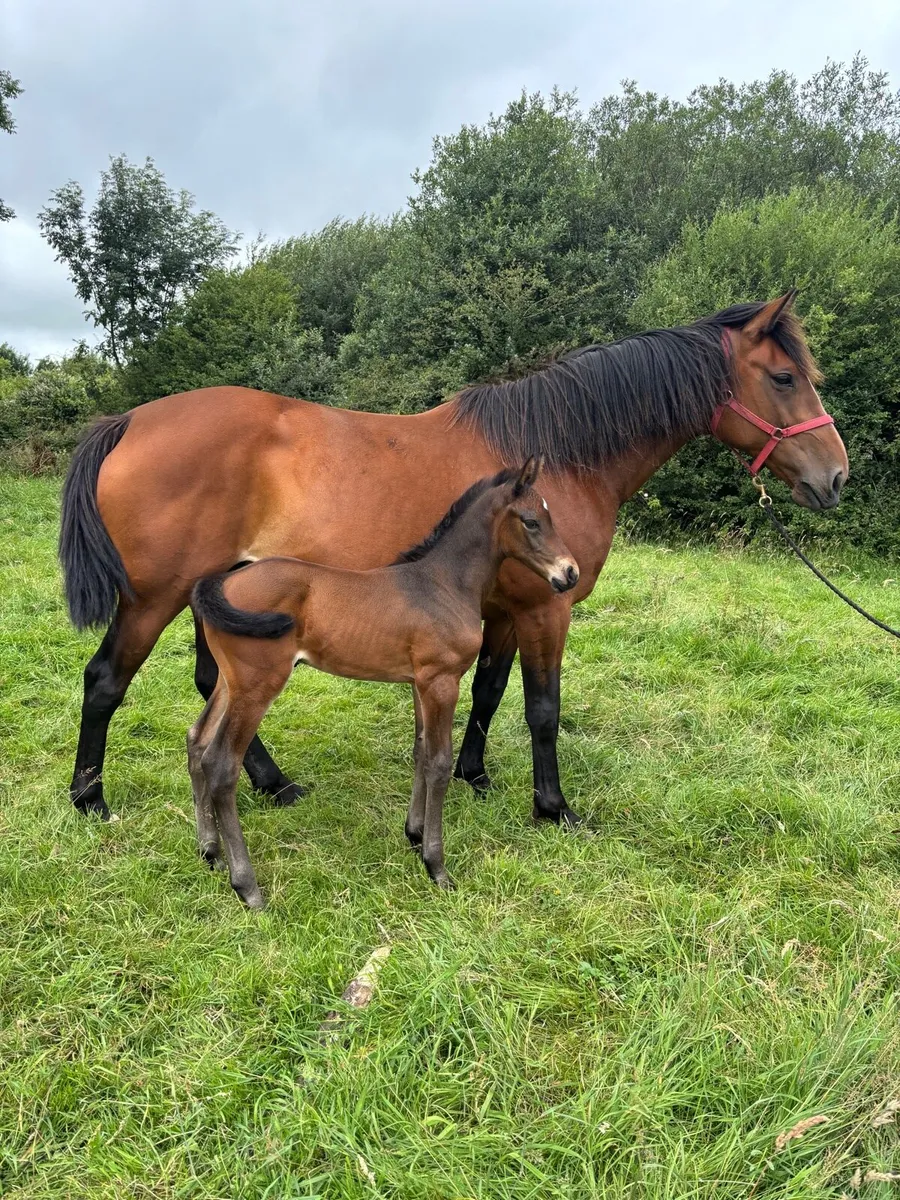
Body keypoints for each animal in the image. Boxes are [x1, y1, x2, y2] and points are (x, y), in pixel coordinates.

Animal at [60, 292, 847, 826]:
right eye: (784, 377)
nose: (836, 476)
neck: (560, 453)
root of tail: (129, 421)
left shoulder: (503, 608)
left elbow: (491, 691)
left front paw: (473, 774)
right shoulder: (547, 607)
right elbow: (542, 708)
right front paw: (553, 807)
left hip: (226, 596)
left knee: (210, 682)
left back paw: (274, 784)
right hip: (155, 597)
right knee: (105, 681)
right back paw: (91, 799)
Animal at [188, 459, 578, 907]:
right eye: (532, 521)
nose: (570, 572)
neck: (443, 583)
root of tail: (219, 583)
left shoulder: (419, 682)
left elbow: (421, 752)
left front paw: (414, 835)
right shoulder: (442, 681)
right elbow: (439, 764)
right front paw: (437, 867)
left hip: (230, 683)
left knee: (196, 741)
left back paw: (211, 853)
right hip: (257, 686)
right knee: (221, 764)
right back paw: (247, 886)